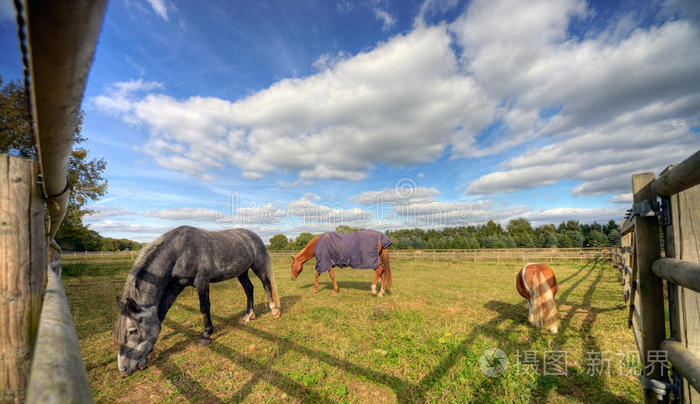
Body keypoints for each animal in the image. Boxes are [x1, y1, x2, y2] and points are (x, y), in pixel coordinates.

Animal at [114, 226, 281, 375]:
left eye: (132, 331)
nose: (124, 370)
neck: (179, 252)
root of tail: (253, 236)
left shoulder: (202, 282)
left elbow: (204, 307)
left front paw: (206, 335)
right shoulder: (176, 285)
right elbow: (164, 309)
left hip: (258, 265)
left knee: (266, 285)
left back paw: (274, 311)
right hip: (242, 271)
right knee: (249, 289)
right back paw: (249, 315)